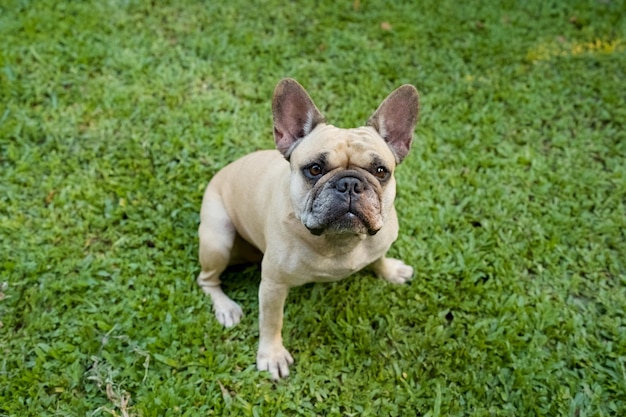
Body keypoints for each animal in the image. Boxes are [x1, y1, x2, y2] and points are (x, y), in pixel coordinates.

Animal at [195, 77, 420, 376]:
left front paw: (389, 270)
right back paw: (226, 307)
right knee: (208, 279)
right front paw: (272, 354)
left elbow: (378, 257)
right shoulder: (273, 285)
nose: (350, 183)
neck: (340, 240)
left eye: (381, 171)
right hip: (218, 239)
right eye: (314, 169)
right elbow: (271, 321)